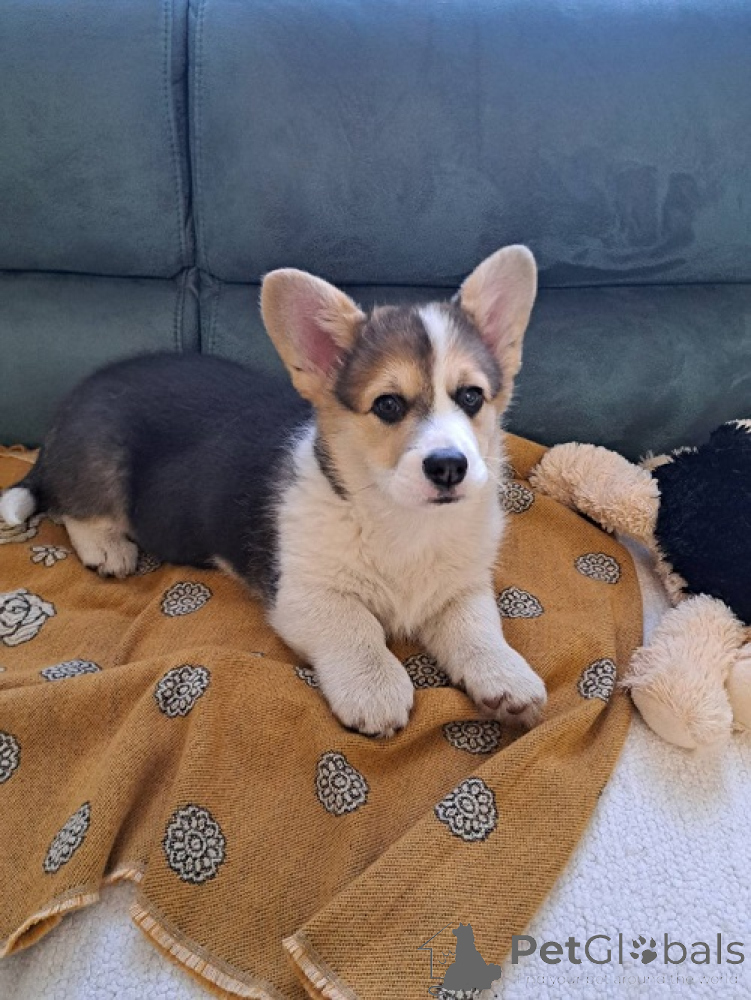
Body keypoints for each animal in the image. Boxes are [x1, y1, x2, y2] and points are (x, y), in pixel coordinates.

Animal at [0, 245, 546, 737]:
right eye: (388, 405)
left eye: (471, 396)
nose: (450, 467)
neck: (404, 520)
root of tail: (71, 404)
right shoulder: (303, 593)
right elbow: (356, 625)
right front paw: (375, 688)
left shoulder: (461, 588)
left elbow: (478, 626)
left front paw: (506, 676)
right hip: (101, 460)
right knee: (71, 506)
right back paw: (106, 546)